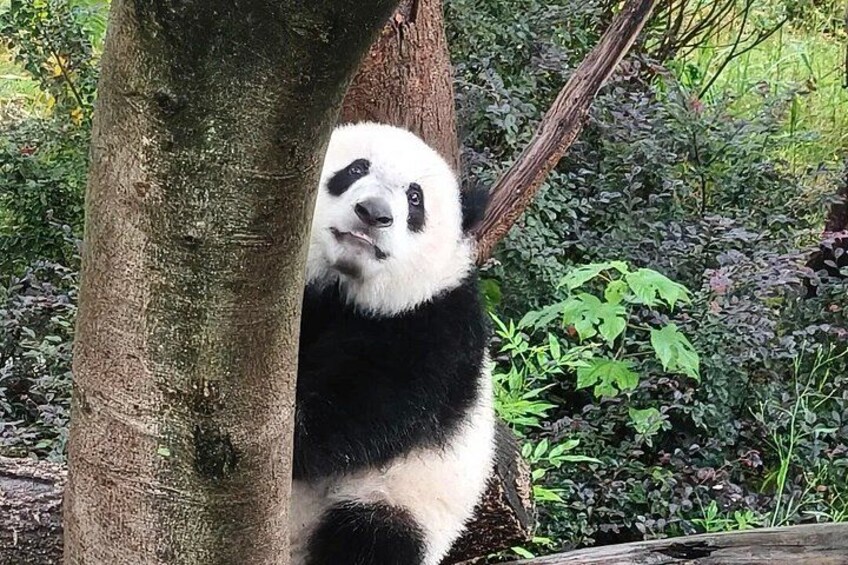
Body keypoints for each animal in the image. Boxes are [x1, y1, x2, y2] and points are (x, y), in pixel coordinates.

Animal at [290, 122, 495, 565]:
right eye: (355, 169)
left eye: (415, 198)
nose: (373, 213)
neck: (343, 288)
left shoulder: (433, 325)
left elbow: (366, 406)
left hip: (396, 500)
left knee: (369, 539)